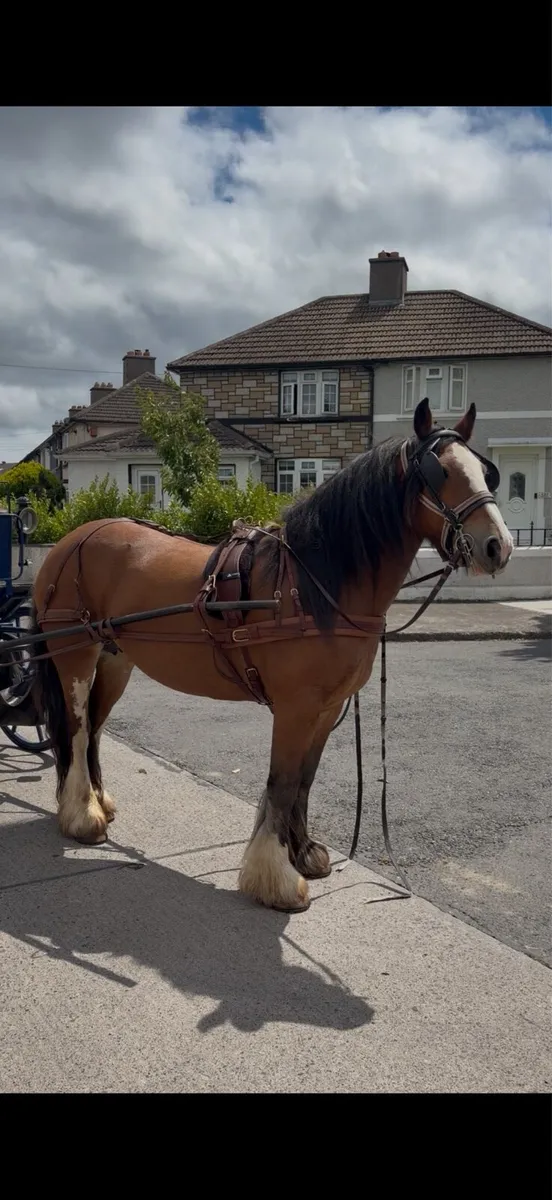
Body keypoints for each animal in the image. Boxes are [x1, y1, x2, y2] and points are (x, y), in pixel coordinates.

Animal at [30, 398, 513, 913]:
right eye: (439, 472)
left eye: (485, 471)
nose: (497, 546)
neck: (312, 585)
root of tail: (71, 541)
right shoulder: (296, 708)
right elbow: (281, 783)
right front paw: (277, 878)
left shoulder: (326, 709)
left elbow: (303, 780)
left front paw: (303, 853)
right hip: (75, 656)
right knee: (78, 731)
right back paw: (83, 817)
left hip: (115, 659)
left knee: (96, 731)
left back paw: (99, 802)